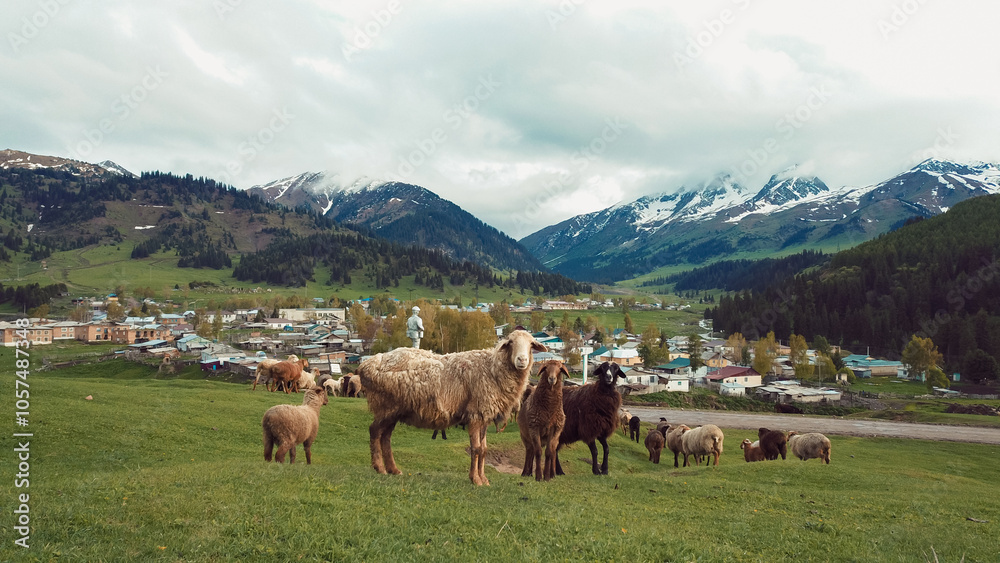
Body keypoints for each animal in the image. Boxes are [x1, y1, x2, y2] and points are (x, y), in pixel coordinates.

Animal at [359, 329, 546, 486]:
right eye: (511, 342)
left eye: (531, 344)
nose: (522, 360)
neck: (493, 368)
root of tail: (367, 364)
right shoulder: (475, 414)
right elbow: (476, 449)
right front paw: (475, 480)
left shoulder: (484, 414)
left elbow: (484, 450)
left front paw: (484, 479)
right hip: (386, 406)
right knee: (374, 431)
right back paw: (379, 468)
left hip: (394, 410)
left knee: (385, 437)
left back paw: (393, 469)